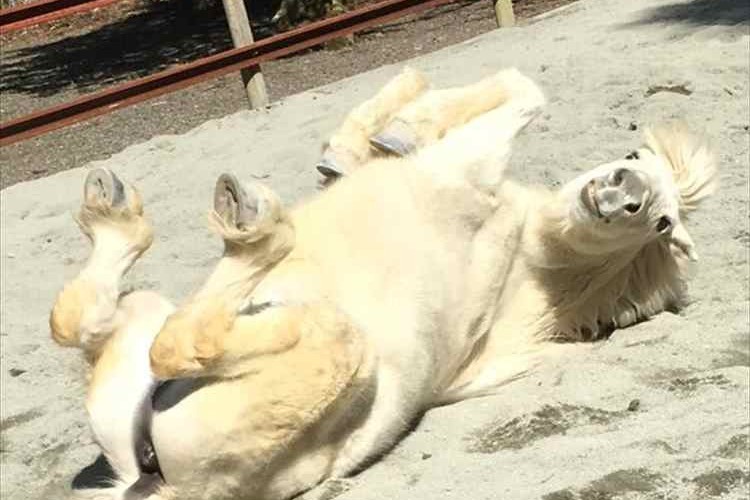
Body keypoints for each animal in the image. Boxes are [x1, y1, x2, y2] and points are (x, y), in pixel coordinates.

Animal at [50, 67, 720, 500]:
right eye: (635, 155)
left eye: (664, 222)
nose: (625, 194)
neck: (524, 254)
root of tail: (163, 483)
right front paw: (371, 139)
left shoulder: (467, 165)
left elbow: (521, 91)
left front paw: (394, 132)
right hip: (136, 344)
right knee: (85, 319)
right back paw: (120, 211)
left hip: (336, 342)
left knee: (178, 341)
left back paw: (252, 226)